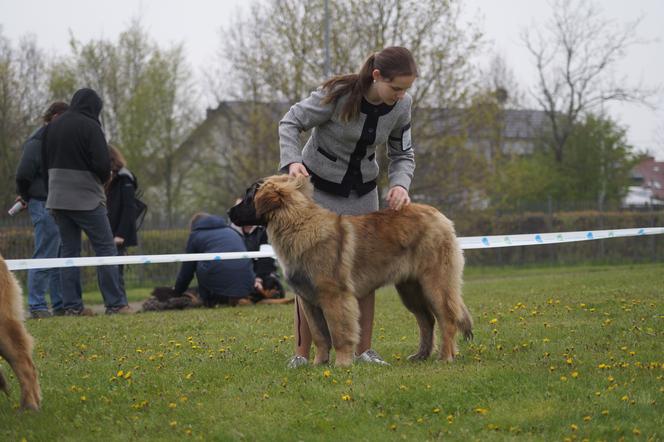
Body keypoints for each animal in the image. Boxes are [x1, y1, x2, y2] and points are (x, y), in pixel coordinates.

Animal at [228, 174, 472, 368]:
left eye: (249, 198)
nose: (229, 212)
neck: (297, 224)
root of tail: (439, 215)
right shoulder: (308, 300)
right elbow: (319, 335)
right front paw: (318, 364)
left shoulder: (335, 297)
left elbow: (339, 333)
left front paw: (342, 364)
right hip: (410, 290)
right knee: (427, 320)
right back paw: (421, 355)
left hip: (435, 284)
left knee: (447, 318)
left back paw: (445, 357)